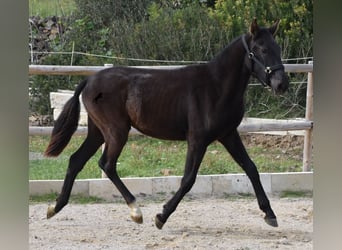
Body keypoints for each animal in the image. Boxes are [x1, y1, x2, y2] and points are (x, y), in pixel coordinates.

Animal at [43, 19, 288, 229]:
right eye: (262, 49)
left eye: (278, 48)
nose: (282, 84)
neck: (216, 87)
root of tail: (89, 80)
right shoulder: (197, 140)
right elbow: (188, 179)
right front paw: (161, 216)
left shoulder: (228, 135)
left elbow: (251, 168)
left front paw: (270, 214)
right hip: (116, 130)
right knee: (107, 164)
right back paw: (136, 211)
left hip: (98, 132)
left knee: (77, 160)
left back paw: (55, 207)